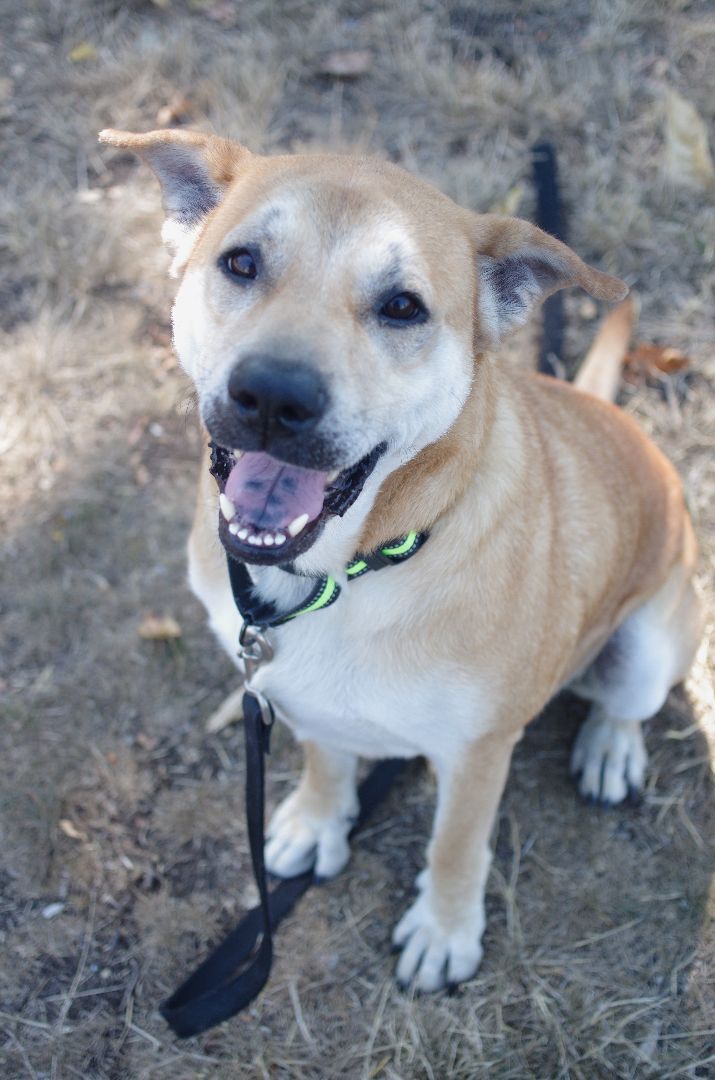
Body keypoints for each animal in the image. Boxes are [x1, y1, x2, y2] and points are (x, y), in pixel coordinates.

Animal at [98, 124, 704, 989]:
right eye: (242, 262)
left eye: (401, 307)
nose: (272, 397)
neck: (348, 574)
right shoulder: (294, 693)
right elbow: (324, 757)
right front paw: (317, 821)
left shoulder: (478, 752)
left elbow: (456, 844)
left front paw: (444, 930)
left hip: (651, 640)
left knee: (626, 703)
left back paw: (608, 749)